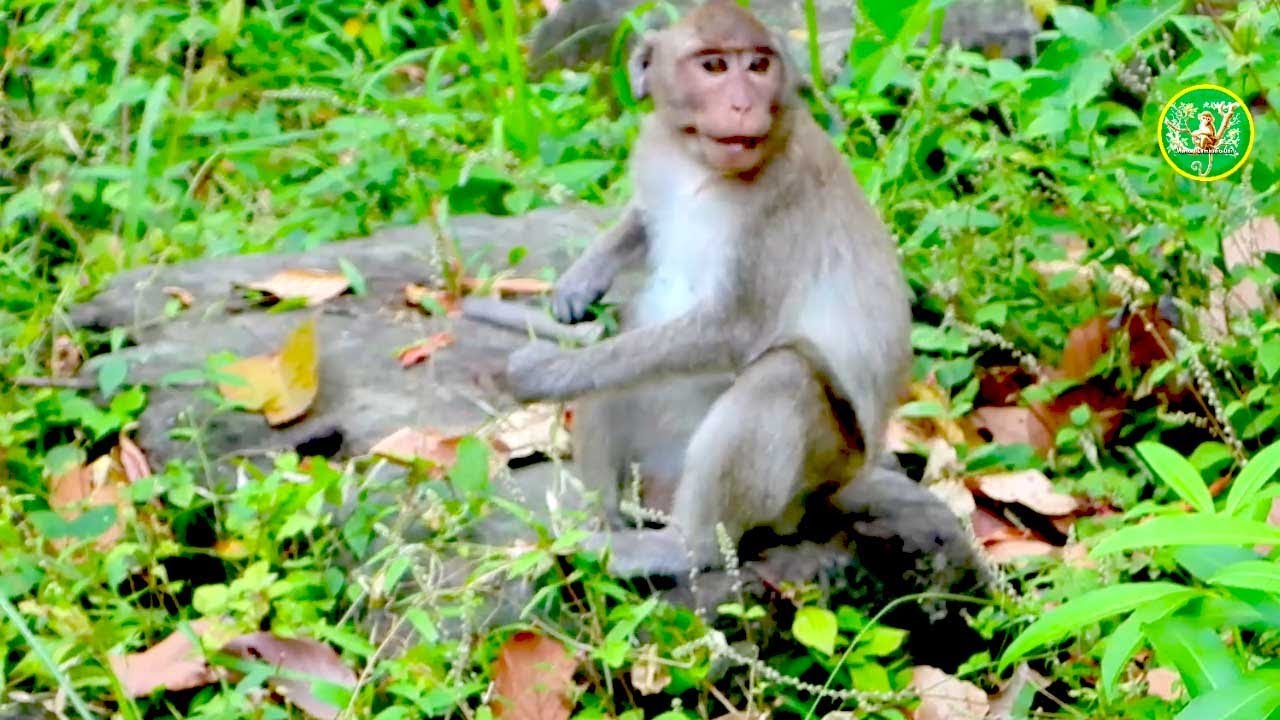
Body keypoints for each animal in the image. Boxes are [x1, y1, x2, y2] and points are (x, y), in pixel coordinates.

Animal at [497, 0, 912, 578]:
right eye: (714, 66)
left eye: (758, 66)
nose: (743, 103)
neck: (698, 166)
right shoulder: (655, 152)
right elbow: (645, 223)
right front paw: (583, 277)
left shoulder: (780, 199)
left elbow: (731, 331)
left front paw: (545, 369)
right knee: (631, 335)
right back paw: (602, 518)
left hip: (817, 475)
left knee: (783, 375)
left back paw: (682, 547)